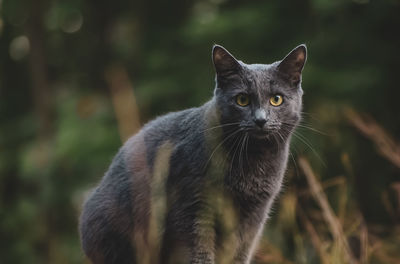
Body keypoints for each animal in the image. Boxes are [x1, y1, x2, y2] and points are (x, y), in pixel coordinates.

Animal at [79, 43, 308, 264]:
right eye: (242, 99)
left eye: (276, 99)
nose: (260, 120)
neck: (252, 160)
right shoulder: (194, 206)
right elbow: (199, 253)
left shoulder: (254, 217)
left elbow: (238, 255)